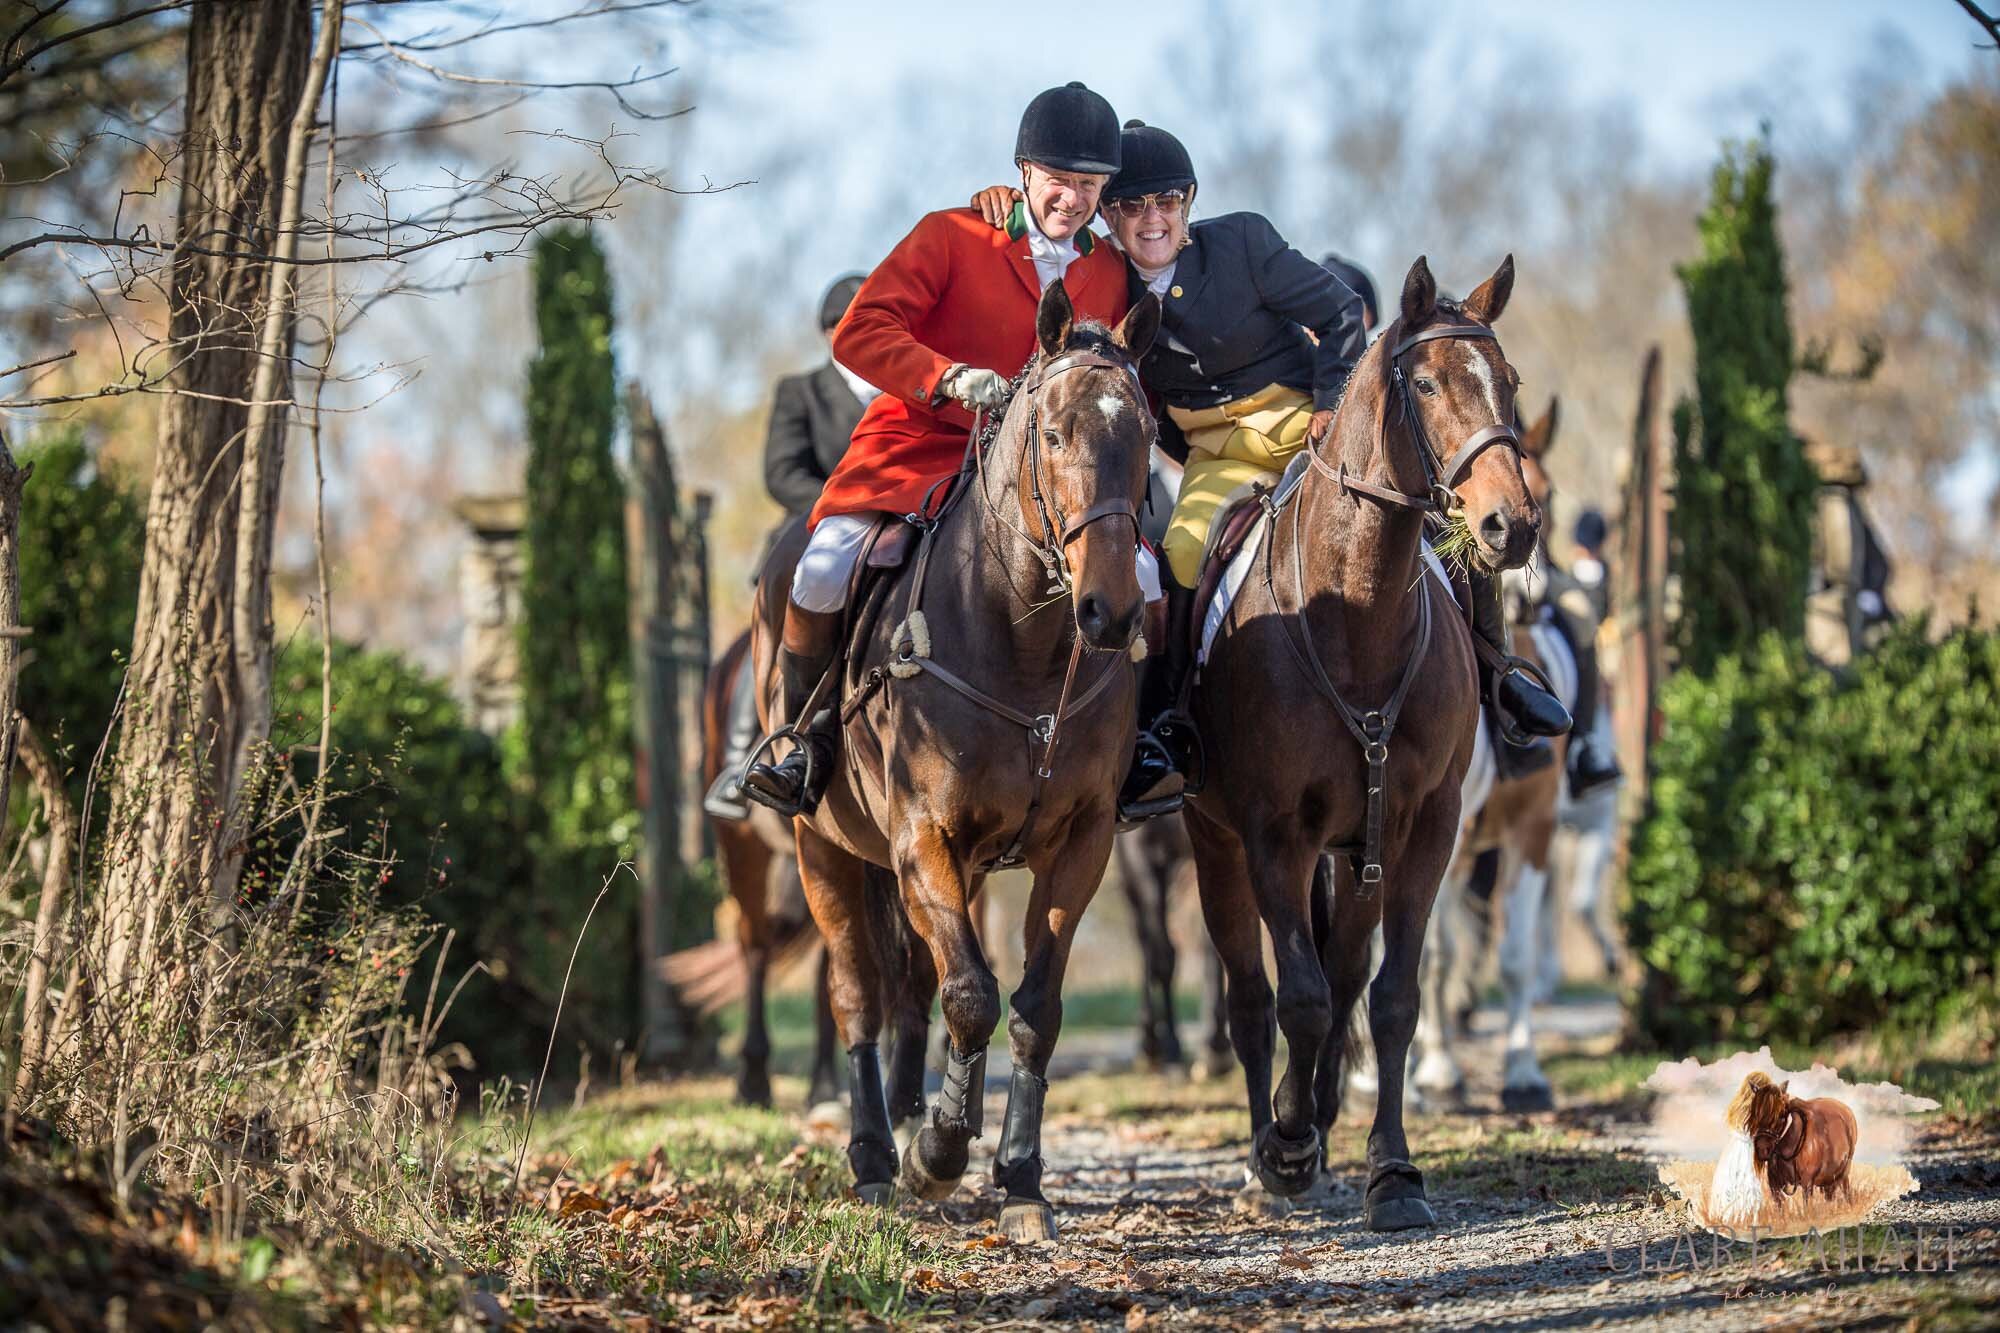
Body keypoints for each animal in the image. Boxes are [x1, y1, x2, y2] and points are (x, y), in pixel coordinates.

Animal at [752, 280, 1160, 1232]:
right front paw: (934, 1156)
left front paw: (1020, 1176)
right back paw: (875, 1154)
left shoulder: (1081, 843)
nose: (1112, 612)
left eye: (1147, 434)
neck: (1026, 644)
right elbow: (971, 994)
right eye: (1055, 434)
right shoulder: (922, 842)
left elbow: (1033, 1008)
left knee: (914, 986)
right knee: (858, 995)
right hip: (821, 848)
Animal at [1184, 256, 1544, 1224]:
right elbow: (1299, 999)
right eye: (1425, 385)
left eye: (1509, 381)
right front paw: (1287, 1144)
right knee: (1252, 996)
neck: (1356, 613)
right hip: (1218, 842)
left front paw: (1393, 1170)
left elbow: (1391, 997)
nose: (1512, 525)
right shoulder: (1274, 834)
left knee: (1347, 971)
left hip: (1359, 849)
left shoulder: (1423, 827)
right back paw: (1270, 1148)